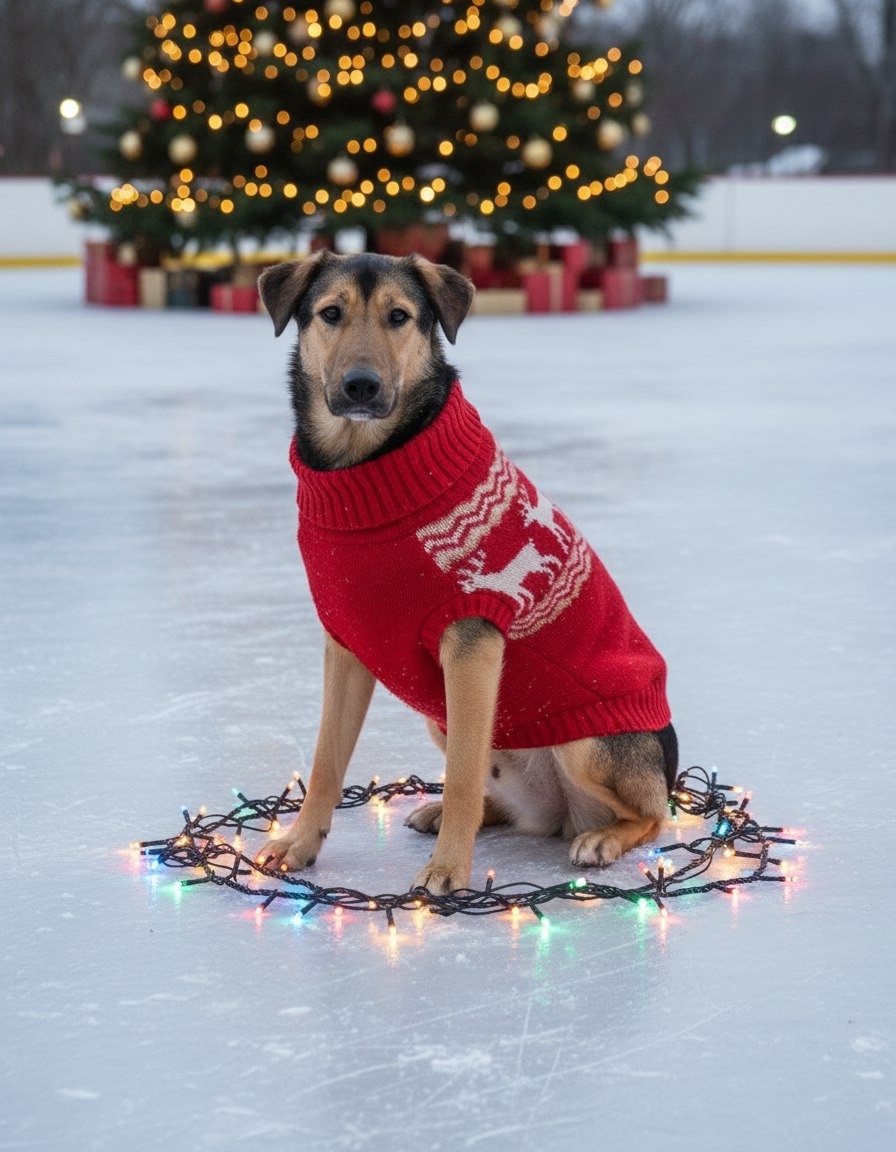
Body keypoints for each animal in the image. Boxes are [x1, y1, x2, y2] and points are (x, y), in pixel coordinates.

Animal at [256, 250, 677, 895]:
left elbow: (459, 775)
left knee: (654, 812)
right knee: (499, 797)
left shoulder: (472, 641)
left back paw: (603, 838)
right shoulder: (345, 644)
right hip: (442, 718)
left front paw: (448, 871)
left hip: (587, 742)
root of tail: (561, 815)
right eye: (330, 313)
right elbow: (326, 759)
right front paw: (299, 843)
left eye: (399, 316)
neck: (367, 465)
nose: (361, 385)